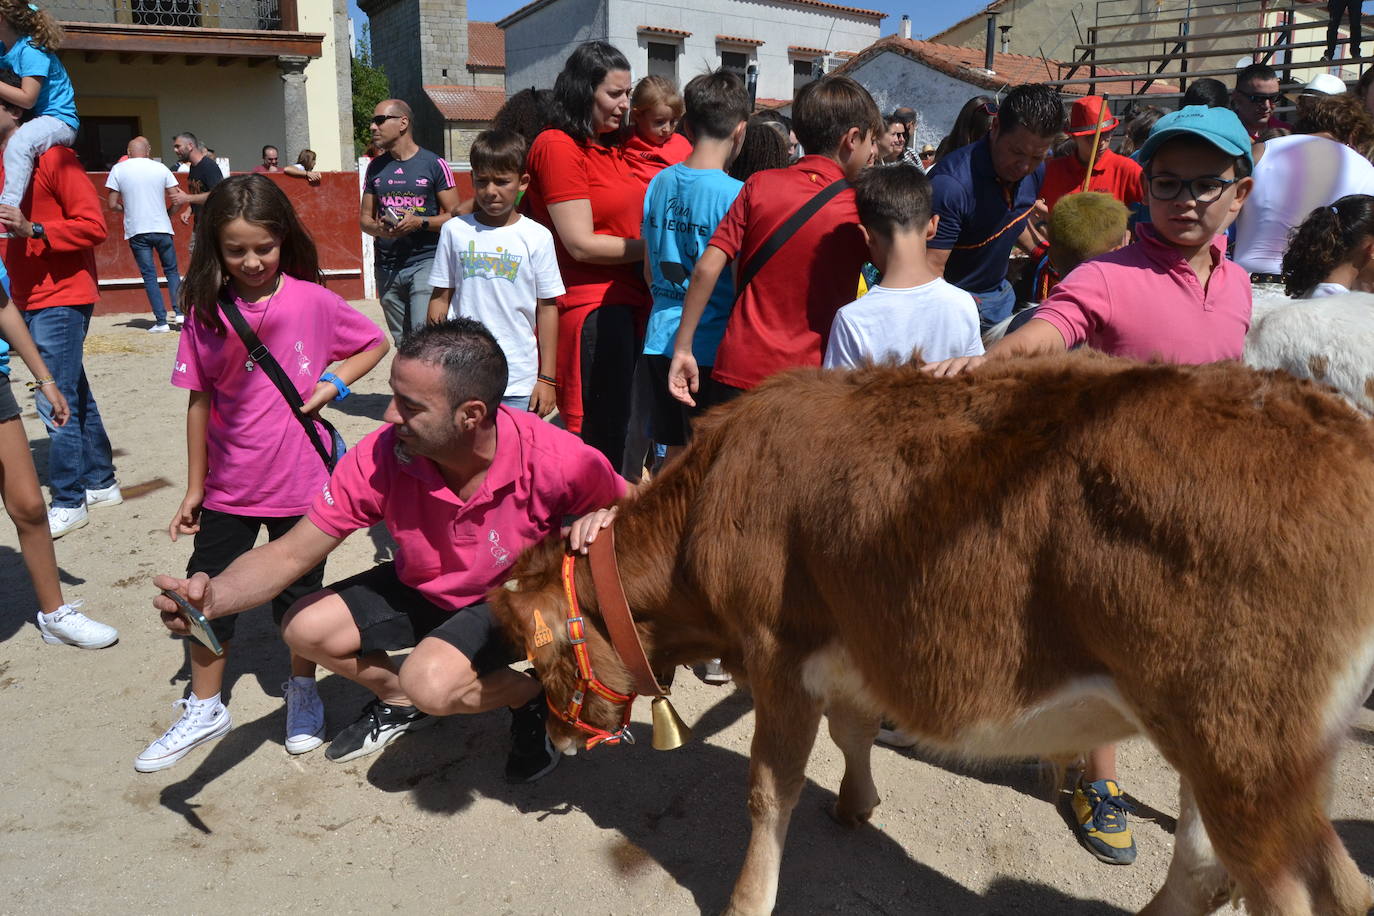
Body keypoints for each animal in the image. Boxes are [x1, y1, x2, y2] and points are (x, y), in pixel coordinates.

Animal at [497, 357, 1374, 916]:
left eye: (538, 661)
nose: (557, 741)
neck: (714, 492)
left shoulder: (778, 650)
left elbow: (768, 790)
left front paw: (748, 899)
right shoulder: (850, 643)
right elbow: (852, 732)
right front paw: (857, 803)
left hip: (1245, 751)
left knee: (1303, 889)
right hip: (1229, 750)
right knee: (1206, 868)